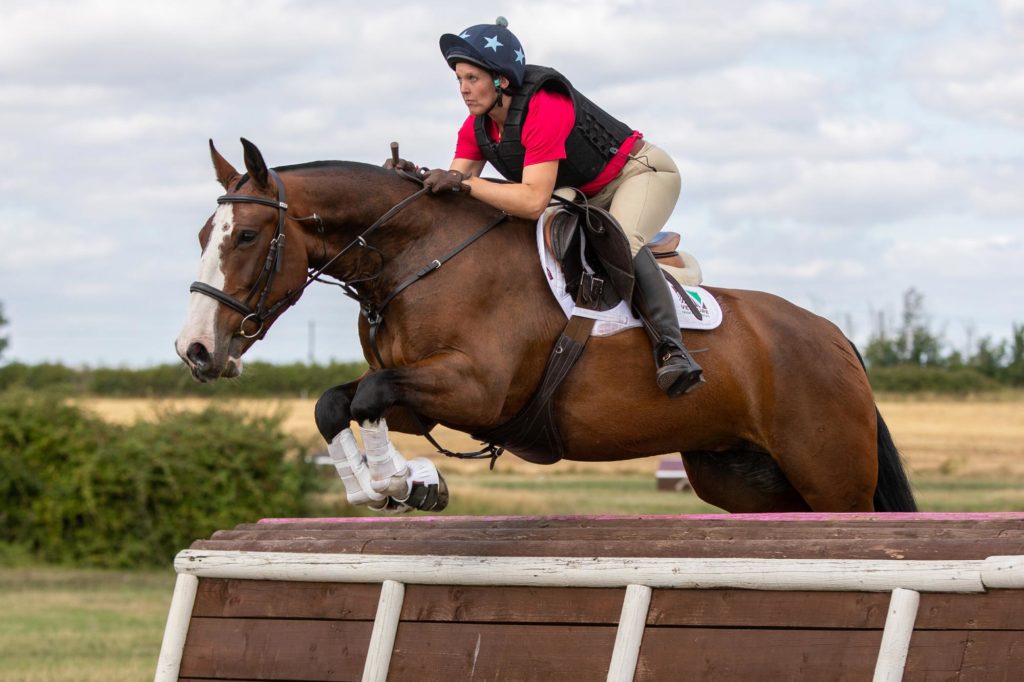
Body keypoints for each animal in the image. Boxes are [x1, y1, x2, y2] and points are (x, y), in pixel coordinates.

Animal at [172, 137, 917, 509]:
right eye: (204, 233)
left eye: (246, 237)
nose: (195, 349)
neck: (419, 255)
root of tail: (835, 338)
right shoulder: (427, 394)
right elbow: (339, 401)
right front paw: (394, 483)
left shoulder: (477, 389)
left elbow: (368, 396)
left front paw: (399, 482)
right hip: (741, 477)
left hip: (831, 477)